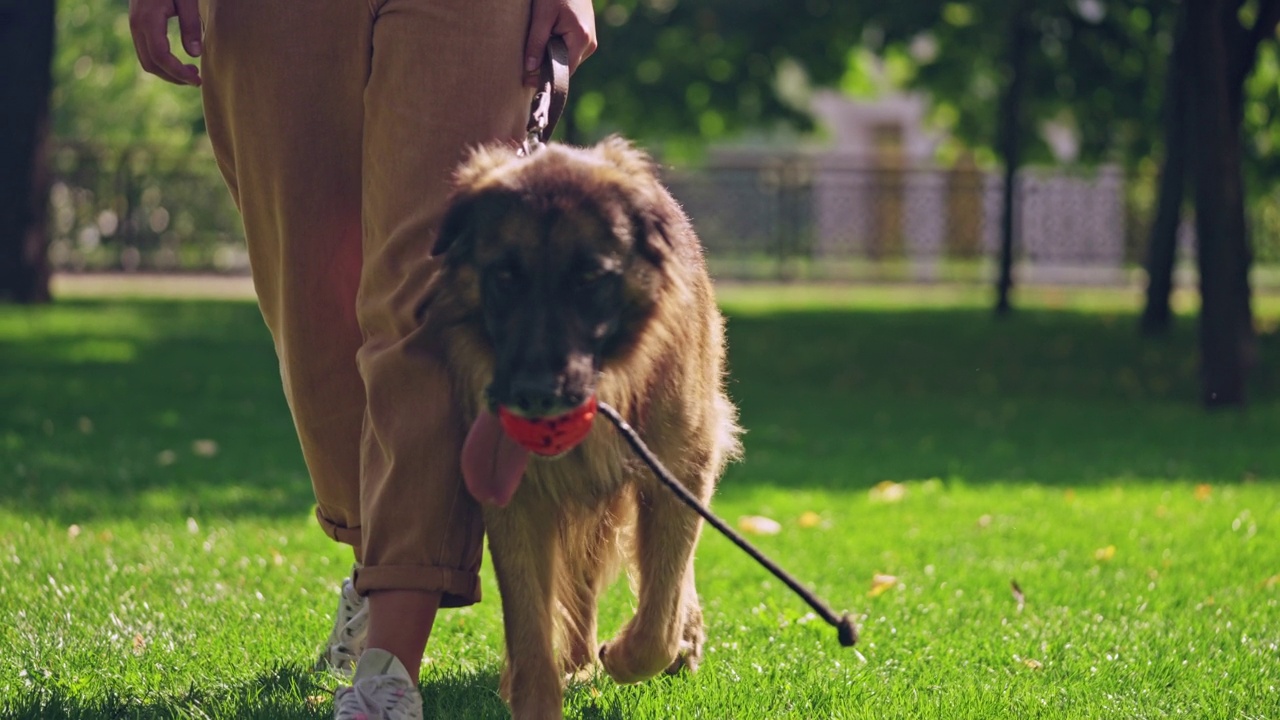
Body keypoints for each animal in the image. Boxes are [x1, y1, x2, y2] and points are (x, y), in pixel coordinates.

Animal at [419, 137, 742, 712]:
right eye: (506, 276)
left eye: (589, 278)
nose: (532, 394)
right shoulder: (518, 497)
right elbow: (529, 624)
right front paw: (538, 694)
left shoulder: (680, 469)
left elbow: (660, 608)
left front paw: (634, 653)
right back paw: (577, 665)